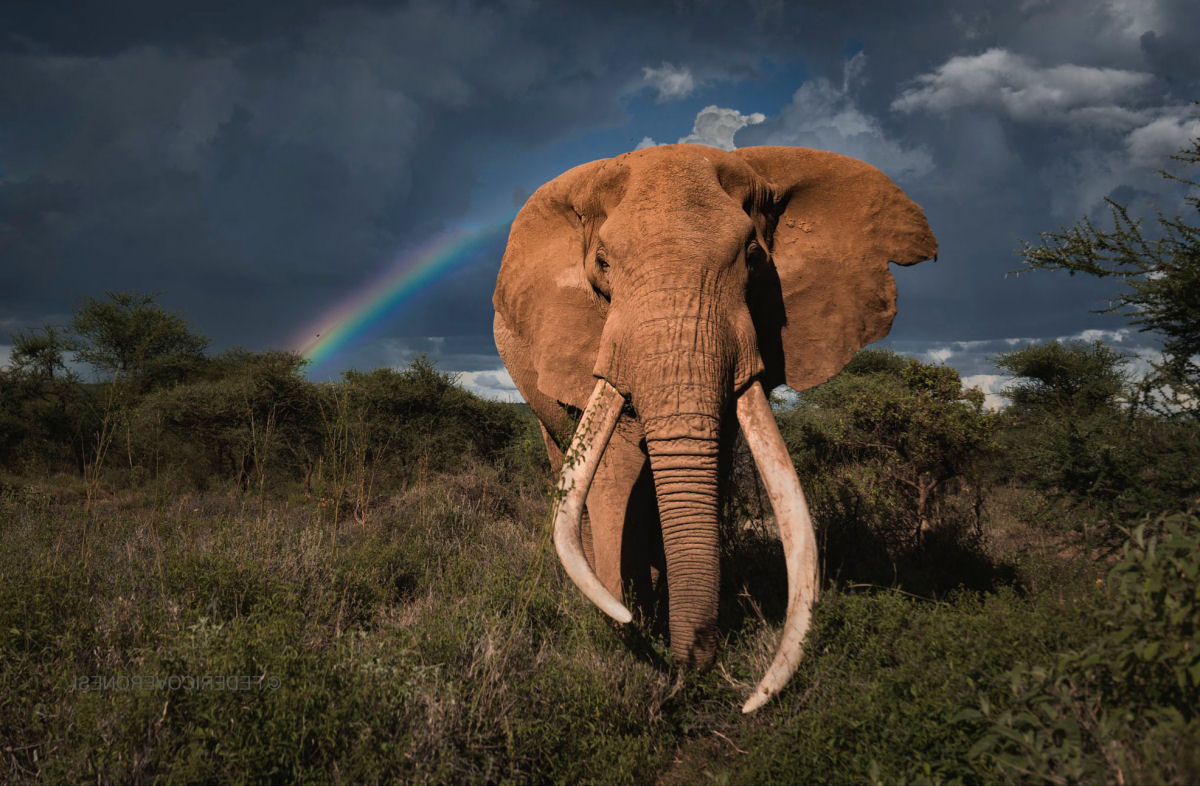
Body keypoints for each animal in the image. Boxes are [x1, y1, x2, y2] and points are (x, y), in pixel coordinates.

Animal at [492, 144, 936, 712]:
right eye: (603, 264)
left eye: (754, 257)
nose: (690, 671)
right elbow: (616, 468)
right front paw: (625, 625)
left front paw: (646, 623)